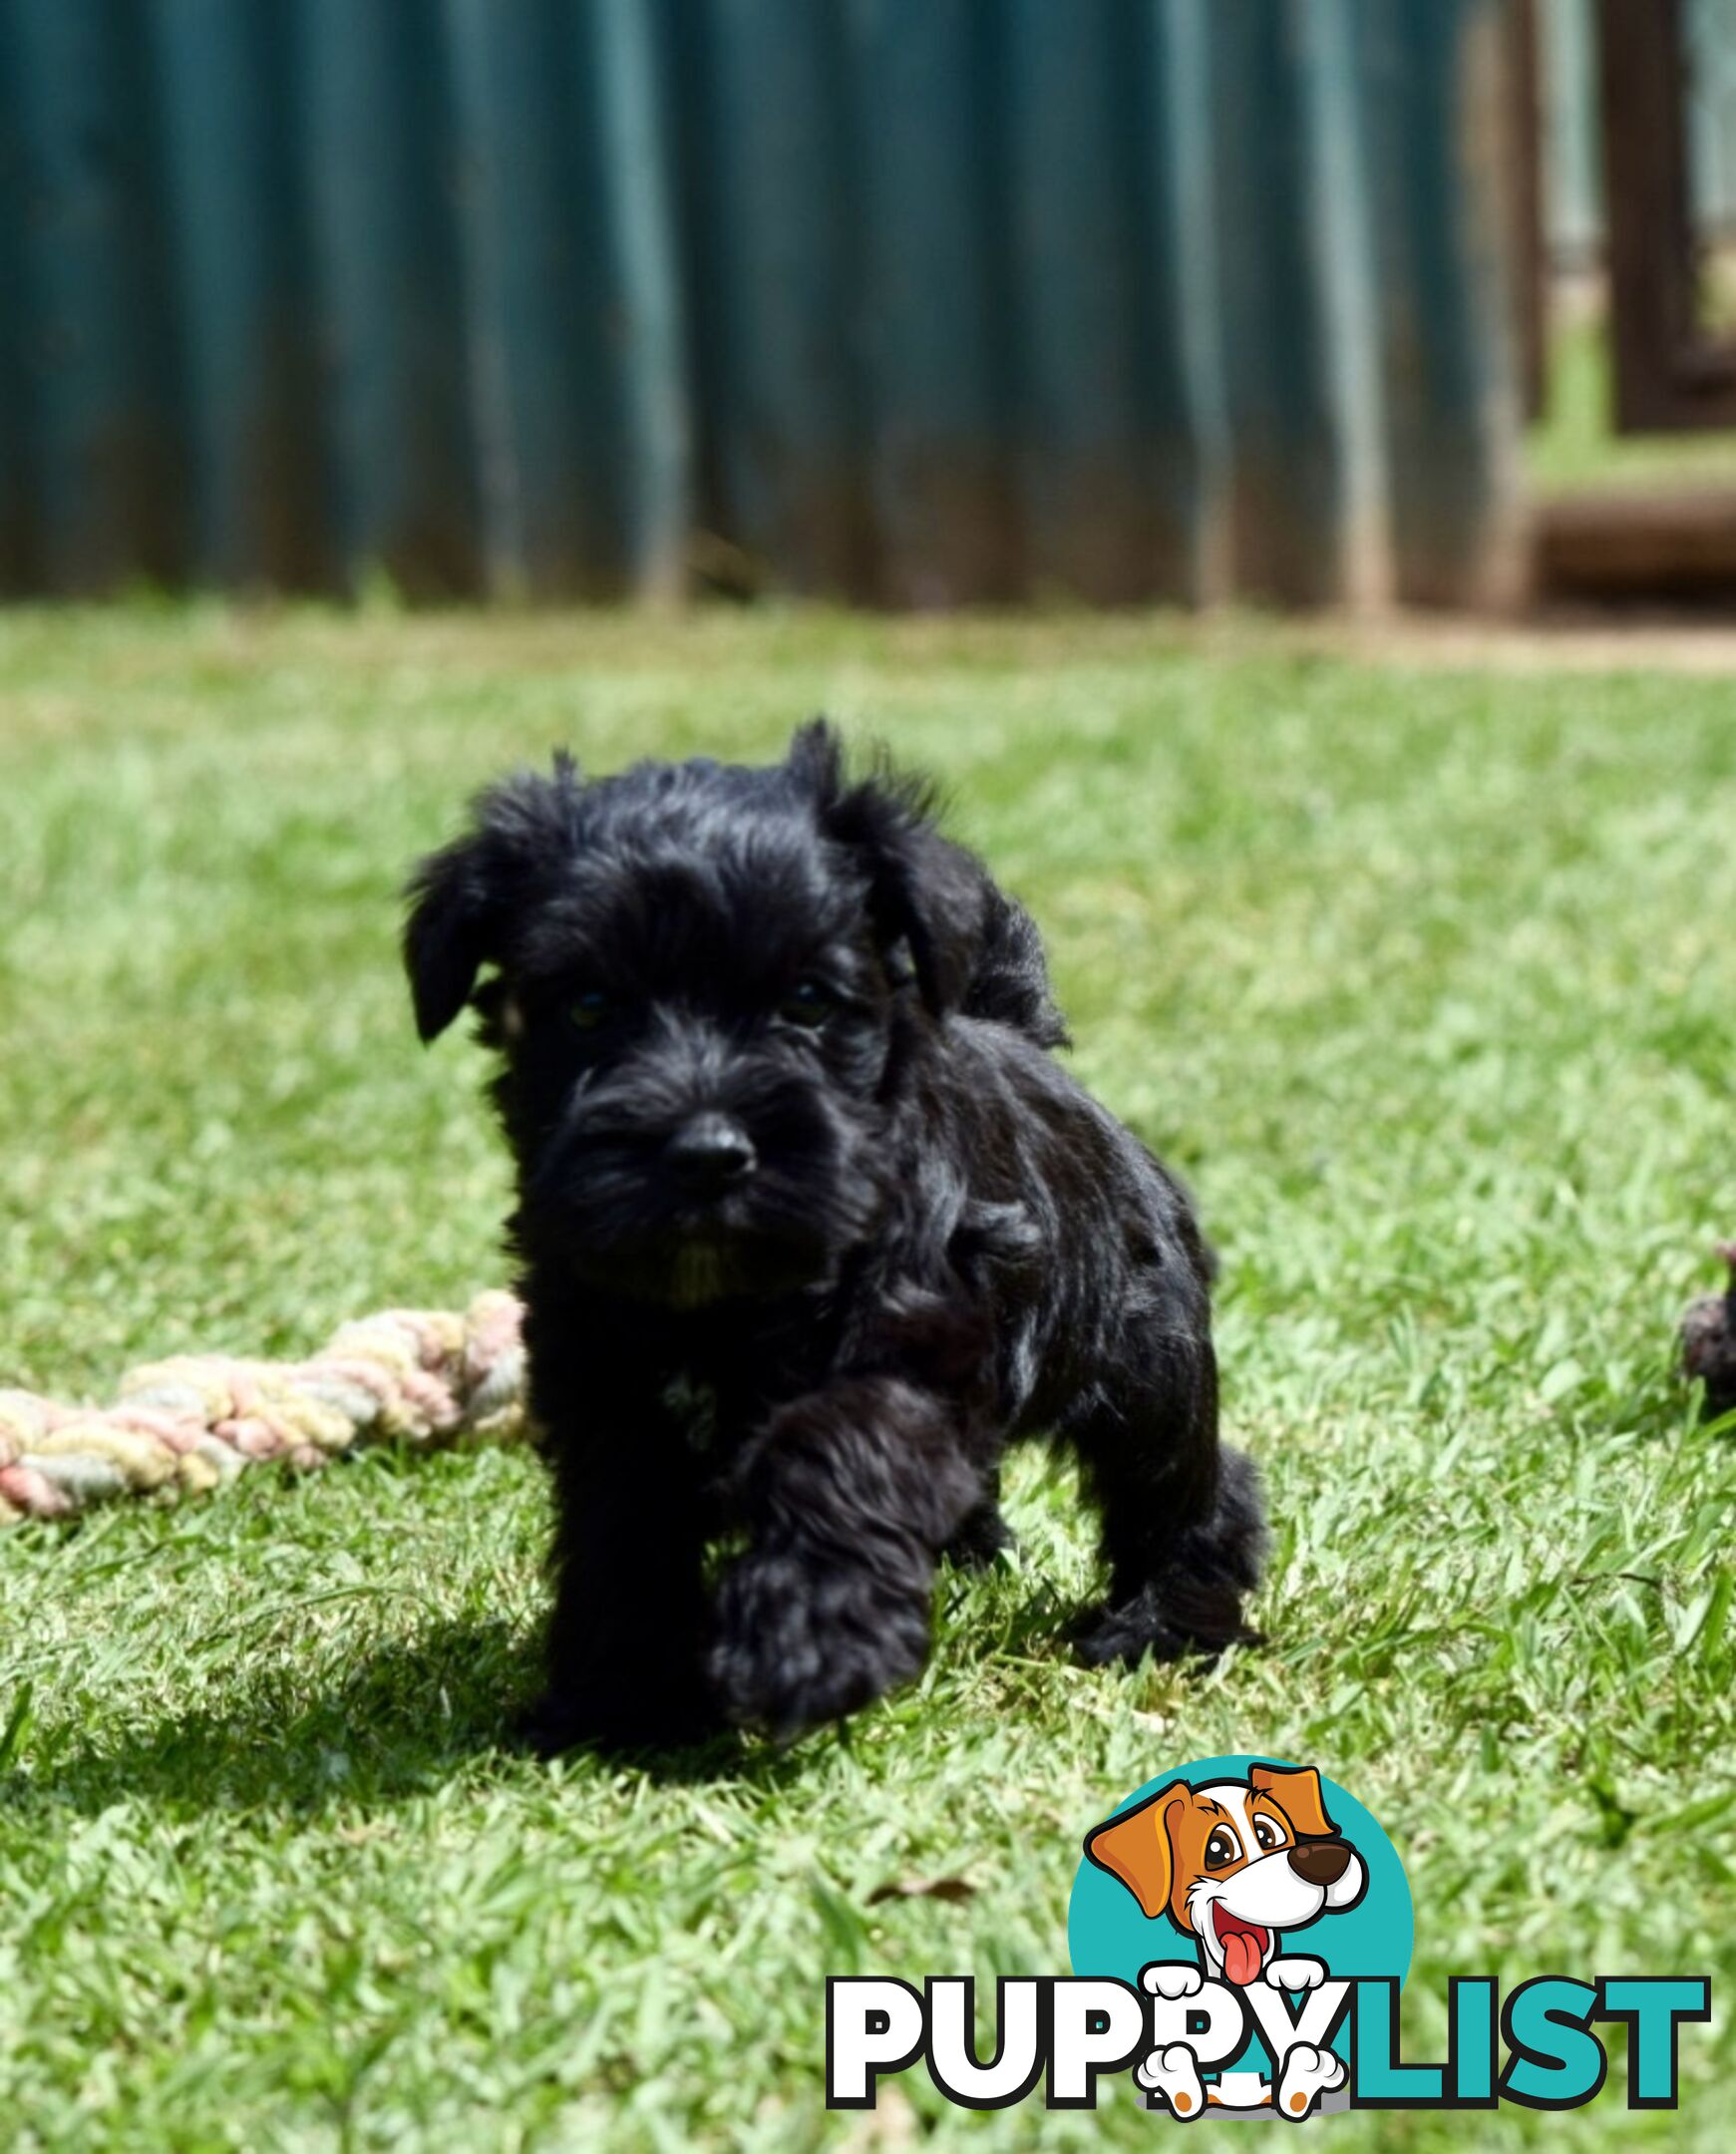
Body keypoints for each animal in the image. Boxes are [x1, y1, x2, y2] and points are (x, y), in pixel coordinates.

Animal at [415, 723, 1274, 1748]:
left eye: (809, 1001)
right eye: (587, 1008)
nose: (706, 1153)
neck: (723, 1298)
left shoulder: (910, 1337)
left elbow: (834, 1450)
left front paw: (806, 1643)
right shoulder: (604, 1386)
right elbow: (619, 1536)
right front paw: (619, 1699)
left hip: (1150, 1358)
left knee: (1183, 1485)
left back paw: (1163, 1626)